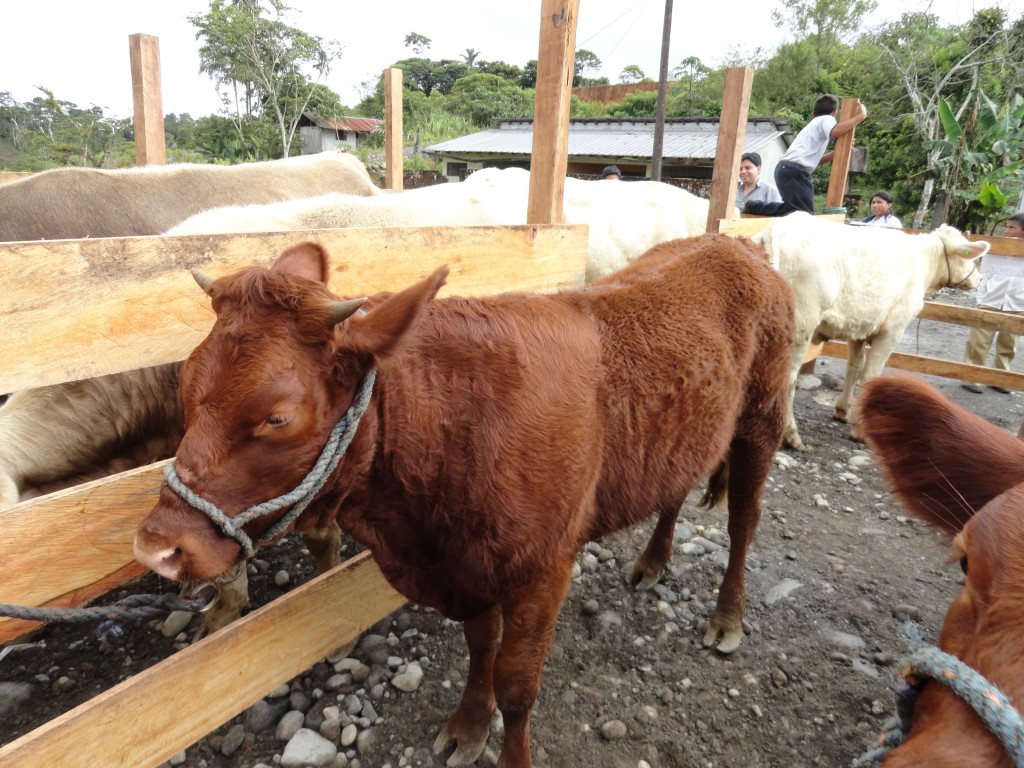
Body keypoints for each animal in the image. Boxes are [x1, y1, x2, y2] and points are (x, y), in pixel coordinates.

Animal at [134, 236, 790, 768]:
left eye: (277, 416)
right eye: (185, 383)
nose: (156, 546)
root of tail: (738, 245)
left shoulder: (543, 567)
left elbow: (518, 687)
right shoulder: (464, 566)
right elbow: (481, 649)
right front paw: (469, 728)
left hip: (761, 420)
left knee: (744, 522)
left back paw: (727, 617)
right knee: (676, 488)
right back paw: (652, 562)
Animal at [753, 210, 991, 450]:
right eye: (969, 256)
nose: (980, 278)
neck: (924, 263)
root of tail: (781, 225)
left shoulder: (859, 328)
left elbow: (854, 368)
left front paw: (843, 411)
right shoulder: (893, 330)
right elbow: (871, 375)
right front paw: (862, 430)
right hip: (802, 324)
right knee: (788, 378)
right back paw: (791, 435)